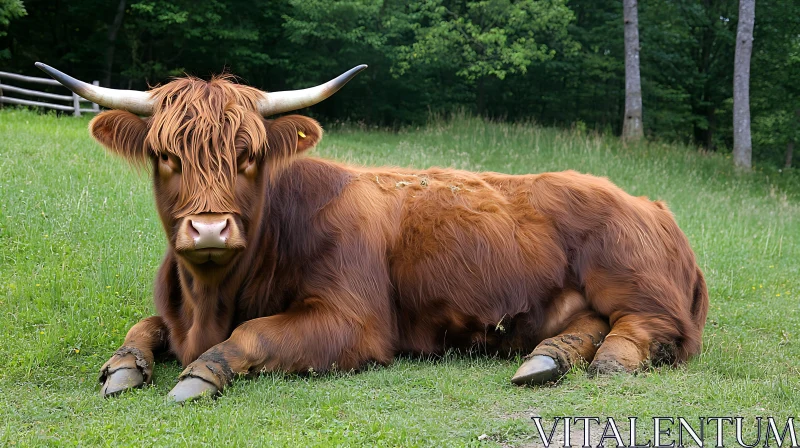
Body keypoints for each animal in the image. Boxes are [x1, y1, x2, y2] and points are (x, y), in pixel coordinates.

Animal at [40, 61, 708, 400]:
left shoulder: (352, 321)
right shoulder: (174, 310)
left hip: (631, 275)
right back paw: (547, 358)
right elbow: (146, 324)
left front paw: (201, 374)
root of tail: (646, 200)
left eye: (249, 155)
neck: (209, 299)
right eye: (165, 155)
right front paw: (124, 366)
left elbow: (254, 333)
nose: (208, 230)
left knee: (651, 325)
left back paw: (612, 360)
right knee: (589, 322)